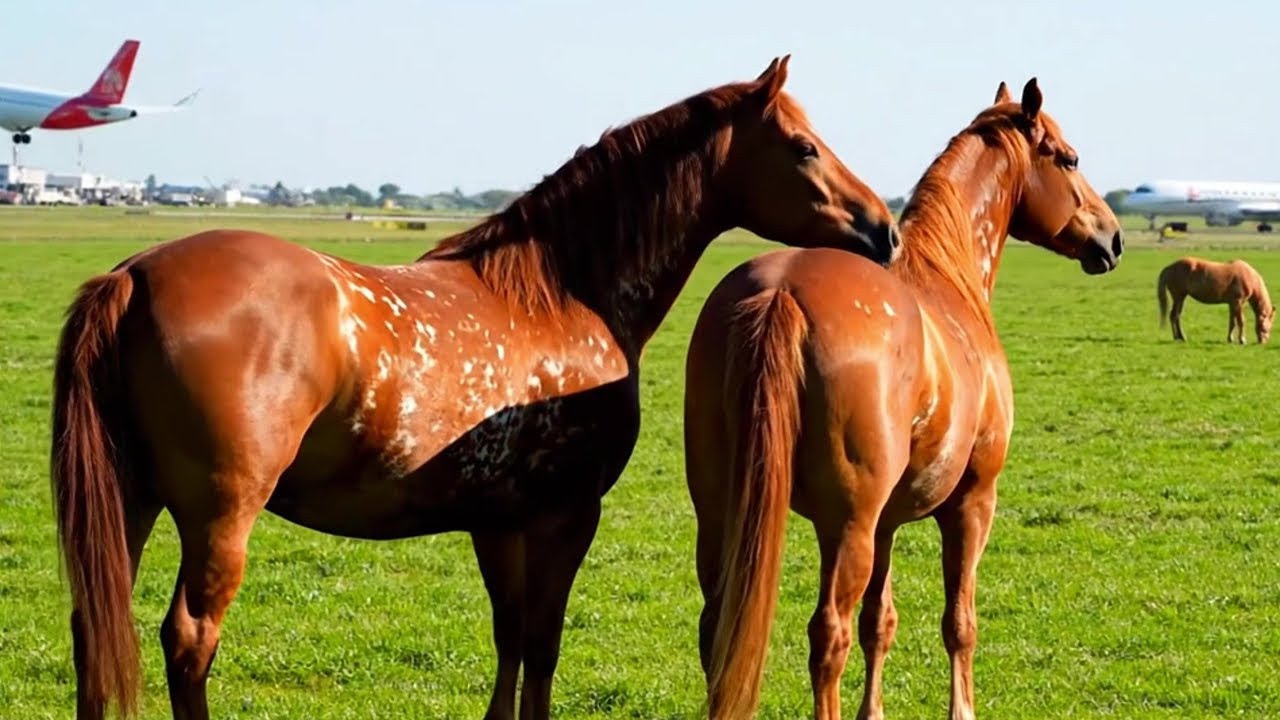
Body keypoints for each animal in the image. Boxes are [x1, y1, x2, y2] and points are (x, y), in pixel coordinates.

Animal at [50, 55, 901, 720]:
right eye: (803, 147)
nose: (882, 229)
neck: (562, 293)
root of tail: (133, 277)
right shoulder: (566, 517)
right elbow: (544, 643)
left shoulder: (498, 521)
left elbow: (510, 637)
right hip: (220, 517)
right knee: (188, 640)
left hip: (128, 500)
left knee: (96, 627)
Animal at [684, 78, 1123, 720]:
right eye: (1068, 158)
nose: (1112, 237)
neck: (948, 278)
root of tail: (781, 291)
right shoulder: (972, 504)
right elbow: (959, 622)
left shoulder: (887, 522)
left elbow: (880, 621)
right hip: (846, 528)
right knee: (828, 635)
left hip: (724, 513)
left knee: (720, 628)